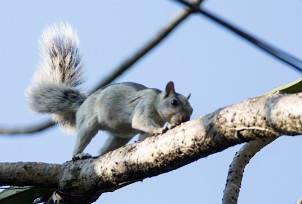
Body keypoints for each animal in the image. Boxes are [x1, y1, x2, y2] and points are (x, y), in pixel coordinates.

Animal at [25, 23, 191, 160]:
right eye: (174, 102)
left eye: (191, 110)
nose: (184, 119)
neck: (157, 102)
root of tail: (82, 104)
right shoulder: (145, 104)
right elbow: (140, 120)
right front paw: (163, 128)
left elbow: (143, 134)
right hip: (88, 122)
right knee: (82, 138)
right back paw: (79, 155)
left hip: (120, 136)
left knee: (108, 145)